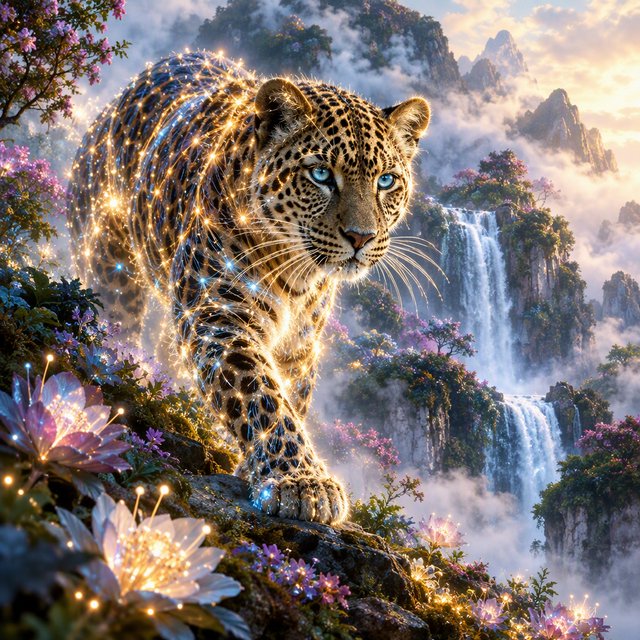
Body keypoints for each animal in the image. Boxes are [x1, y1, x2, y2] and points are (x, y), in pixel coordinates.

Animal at [68, 51, 430, 525]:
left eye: (386, 181)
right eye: (320, 174)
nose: (361, 237)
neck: (298, 275)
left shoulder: (300, 345)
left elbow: (290, 396)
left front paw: (261, 467)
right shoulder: (218, 315)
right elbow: (262, 393)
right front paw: (300, 481)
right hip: (108, 262)